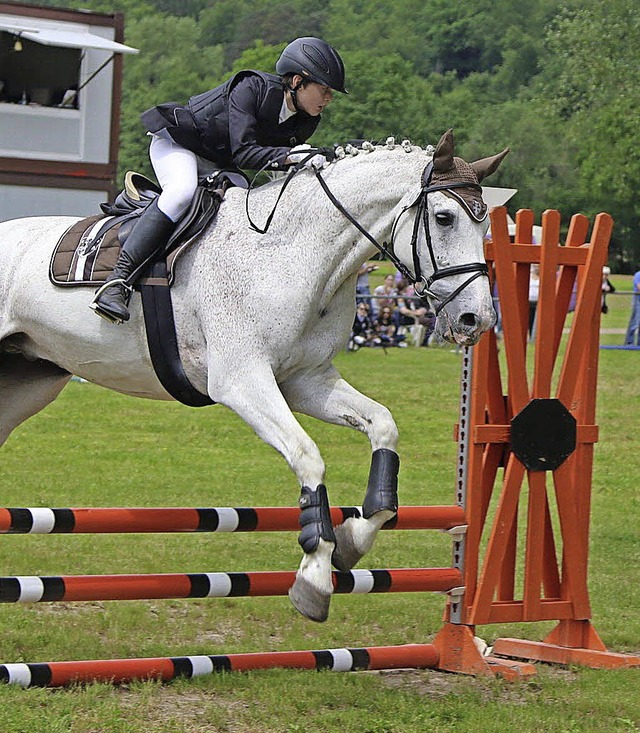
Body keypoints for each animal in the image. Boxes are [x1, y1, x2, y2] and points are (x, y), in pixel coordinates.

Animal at [1, 130, 510, 616]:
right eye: (444, 218)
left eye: (486, 223)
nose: (477, 320)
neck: (293, 254)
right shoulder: (242, 382)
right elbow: (307, 456)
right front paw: (314, 575)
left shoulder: (307, 381)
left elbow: (383, 427)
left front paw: (352, 540)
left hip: (30, 381)